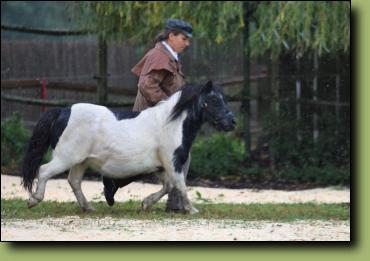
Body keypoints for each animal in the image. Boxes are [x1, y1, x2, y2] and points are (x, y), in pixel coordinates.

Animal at [22, 80, 234, 213]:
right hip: (66, 158)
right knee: (44, 171)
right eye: (214, 100)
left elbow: (168, 186)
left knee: (74, 181)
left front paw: (146, 204)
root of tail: (63, 111)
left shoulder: (161, 167)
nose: (232, 122)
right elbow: (180, 185)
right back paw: (33, 200)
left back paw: (88, 207)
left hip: (80, 161)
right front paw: (192, 209)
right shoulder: (172, 162)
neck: (170, 124)